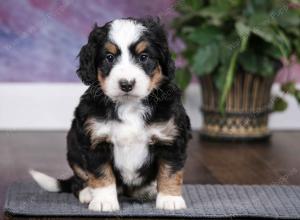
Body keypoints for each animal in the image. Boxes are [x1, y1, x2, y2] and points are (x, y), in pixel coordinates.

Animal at [29, 17, 190, 211]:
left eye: (143, 57)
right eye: (109, 57)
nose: (127, 84)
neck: (128, 106)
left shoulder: (170, 137)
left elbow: (170, 170)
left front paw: (169, 199)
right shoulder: (96, 139)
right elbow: (101, 174)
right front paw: (104, 201)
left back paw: (148, 190)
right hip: (73, 148)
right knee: (78, 180)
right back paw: (87, 192)